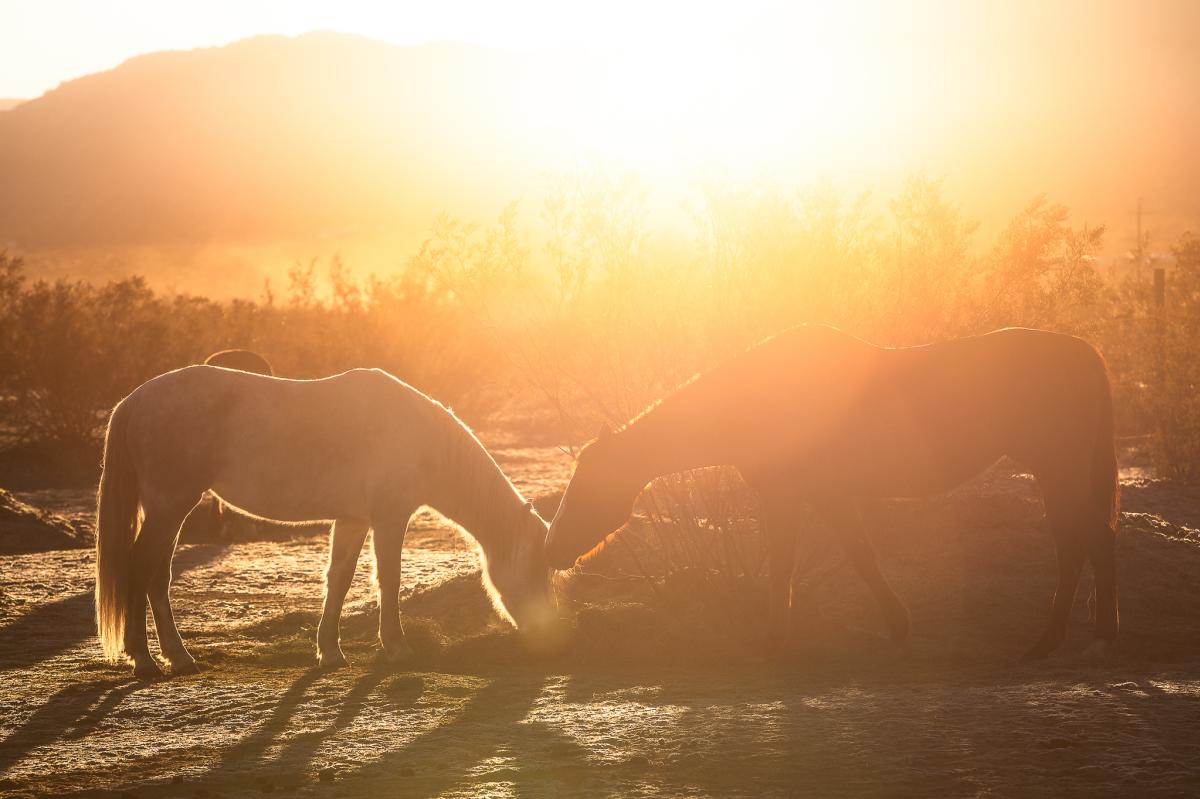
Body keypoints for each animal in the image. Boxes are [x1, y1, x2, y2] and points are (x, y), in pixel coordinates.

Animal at [95, 366, 557, 678]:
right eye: (538, 569)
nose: (549, 633)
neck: (417, 436)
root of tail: (133, 401)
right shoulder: (390, 518)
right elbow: (389, 579)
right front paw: (397, 647)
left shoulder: (352, 520)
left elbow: (340, 579)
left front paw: (329, 652)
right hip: (169, 508)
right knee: (141, 570)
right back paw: (148, 659)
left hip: (168, 512)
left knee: (156, 576)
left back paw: (174, 656)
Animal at [546, 324, 1119, 660]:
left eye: (587, 485)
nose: (551, 547)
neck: (760, 399)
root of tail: (1086, 352)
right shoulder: (828, 498)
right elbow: (861, 556)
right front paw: (898, 625)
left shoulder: (789, 499)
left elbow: (786, 566)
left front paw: (774, 639)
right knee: (1088, 542)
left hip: (1058, 472)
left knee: (1084, 544)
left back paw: (1066, 638)